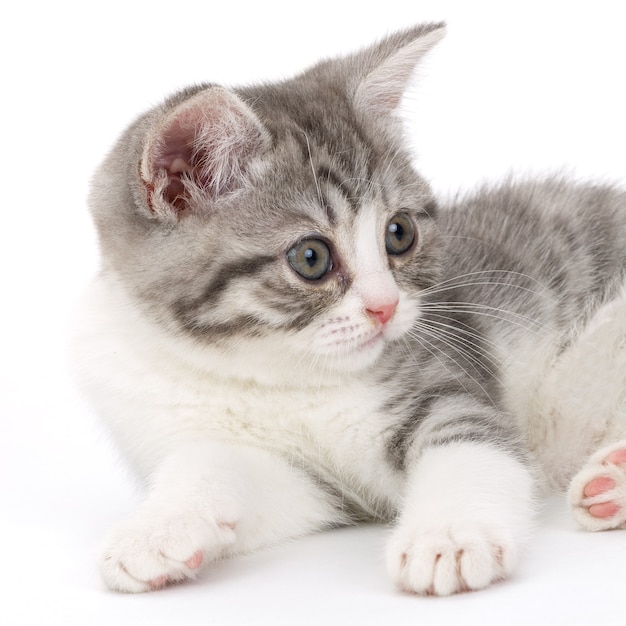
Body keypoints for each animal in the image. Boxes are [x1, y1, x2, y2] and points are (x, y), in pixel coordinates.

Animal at [75, 22, 624, 592]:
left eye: (399, 233)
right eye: (311, 258)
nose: (386, 307)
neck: (277, 377)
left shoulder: (448, 382)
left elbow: (472, 448)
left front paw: (448, 537)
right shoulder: (297, 483)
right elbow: (220, 467)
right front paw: (157, 530)